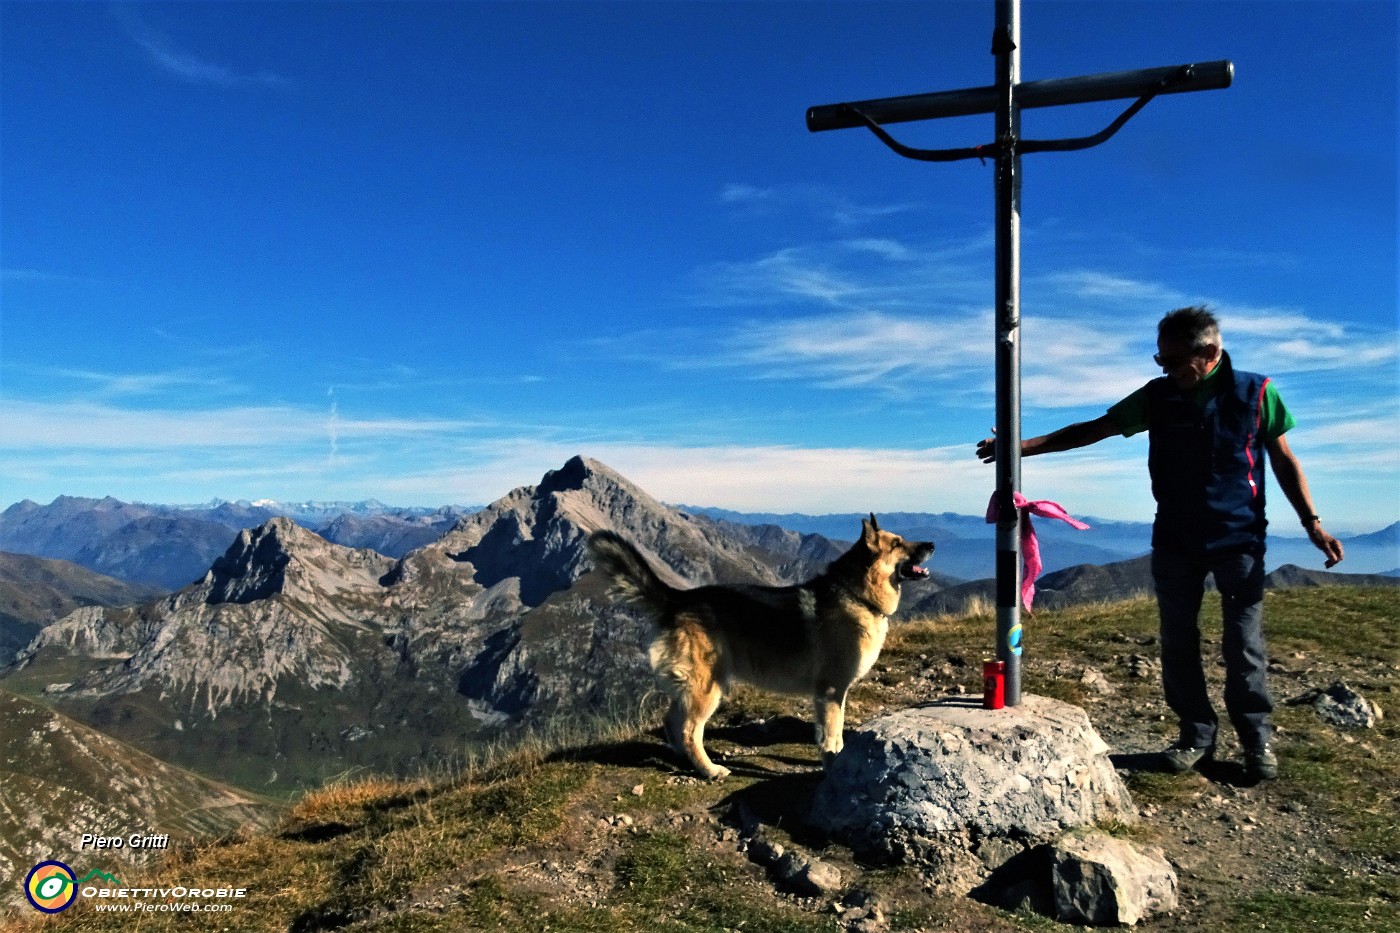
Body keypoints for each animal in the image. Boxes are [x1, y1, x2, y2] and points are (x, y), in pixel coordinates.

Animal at [585, 515, 935, 778]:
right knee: (687, 730)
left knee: (672, 723)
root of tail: (678, 599)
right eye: (897, 544)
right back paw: (710, 770)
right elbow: (832, 736)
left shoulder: (834, 693)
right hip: (707, 688)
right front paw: (833, 766)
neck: (856, 593)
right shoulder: (832, 692)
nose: (931, 544)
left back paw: (686, 761)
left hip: (698, 686)